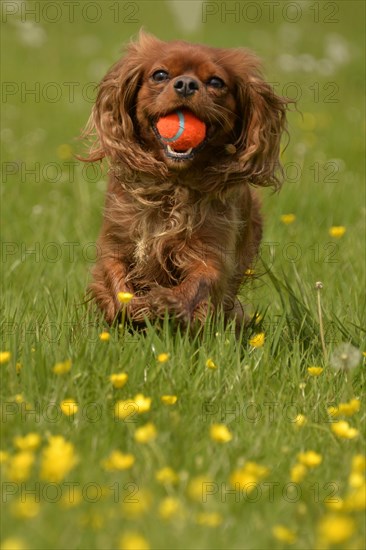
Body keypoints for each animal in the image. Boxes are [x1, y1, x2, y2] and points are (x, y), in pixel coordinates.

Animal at [81, 32, 290, 330]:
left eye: (216, 82)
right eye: (160, 74)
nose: (186, 84)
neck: (173, 184)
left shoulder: (211, 253)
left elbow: (201, 281)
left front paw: (167, 302)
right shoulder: (116, 242)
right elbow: (115, 279)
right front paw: (131, 306)